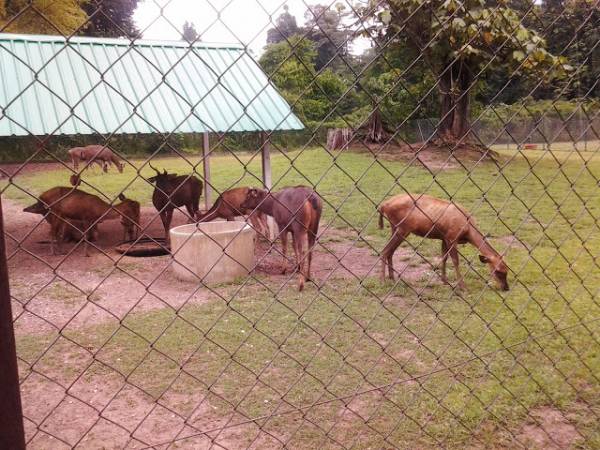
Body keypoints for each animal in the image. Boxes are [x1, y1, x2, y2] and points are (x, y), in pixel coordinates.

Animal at [378, 193, 508, 292]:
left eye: (507, 270)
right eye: (498, 271)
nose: (506, 288)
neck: (468, 230)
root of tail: (383, 205)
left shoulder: (444, 238)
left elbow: (444, 257)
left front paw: (444, 280)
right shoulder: (451, 237)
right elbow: (455, 261)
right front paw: (463, 287)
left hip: (395, 228)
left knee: (390, 251)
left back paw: (391, 277)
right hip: (402, 228)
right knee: (384, 250)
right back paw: (383, 280)